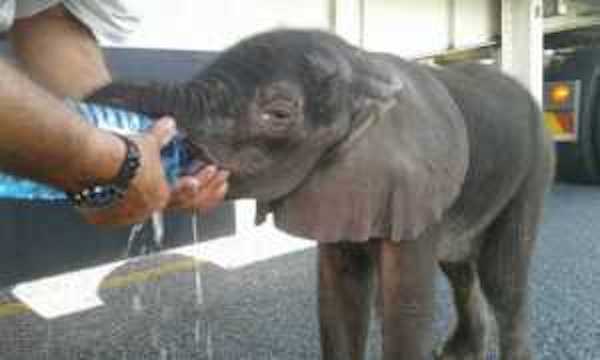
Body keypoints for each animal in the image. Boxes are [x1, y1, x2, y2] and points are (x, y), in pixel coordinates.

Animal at [89, 28, 552, 360]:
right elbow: (339, 299)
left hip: (533, 170)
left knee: (503, 280)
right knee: (460, 269)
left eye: (278, 113)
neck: (362, 67)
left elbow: (406, 307)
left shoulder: (414, 180)